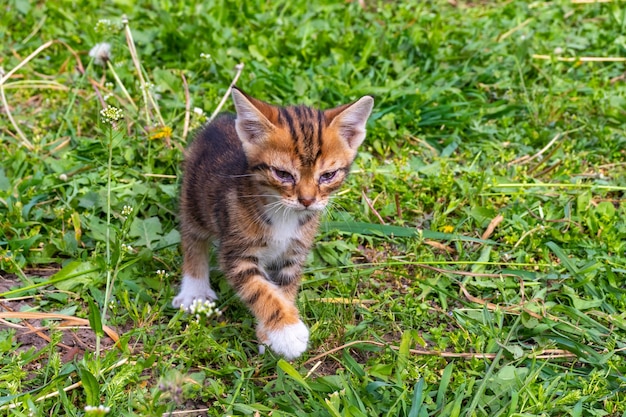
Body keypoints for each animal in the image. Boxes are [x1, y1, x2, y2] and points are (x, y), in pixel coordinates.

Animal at [173, 87, 372, 358]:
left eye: (328, 176)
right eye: (283, 174)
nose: (307, 200)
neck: (284, 213)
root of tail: (220, 121)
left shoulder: (293, 253)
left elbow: (283, 291)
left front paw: (271, 334)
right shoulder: (237, 253)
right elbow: (260, 290)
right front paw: (287, 331)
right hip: (194, 199)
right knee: (193, 238)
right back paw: (194, 290)